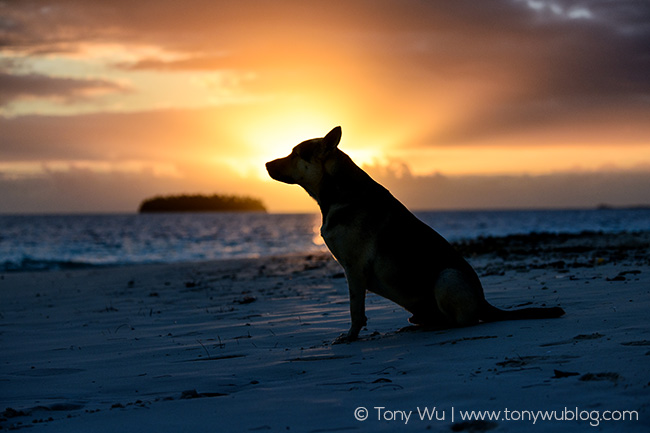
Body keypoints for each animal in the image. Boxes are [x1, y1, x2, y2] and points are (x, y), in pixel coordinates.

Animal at [264, 126, 560, 342]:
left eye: (296, 153)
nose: (265, 164)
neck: (338, 189)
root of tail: (484, 302)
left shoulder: (354, 269)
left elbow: (355, 309)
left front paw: (350, 336)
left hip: (447, 277)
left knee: (462, 321)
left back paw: (434, 326)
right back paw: (418, 324)